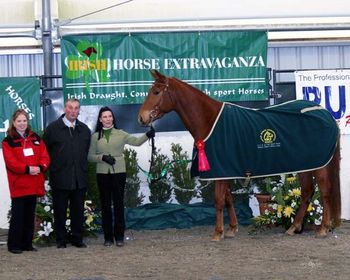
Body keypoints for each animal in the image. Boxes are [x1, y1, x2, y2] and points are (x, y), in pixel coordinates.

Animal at [138, 70, 340, 241]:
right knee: (307, 192)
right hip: (306, 164)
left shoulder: (221, 170)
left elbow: (219, 201)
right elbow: (228, 199)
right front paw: (231, 229)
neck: (210, 121)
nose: (142, 117)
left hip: (320, 166)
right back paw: (293, 227)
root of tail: (323, 112)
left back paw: (323, 229)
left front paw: (217, 233)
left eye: (156, 92)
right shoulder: (224, 170)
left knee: (325, 192)